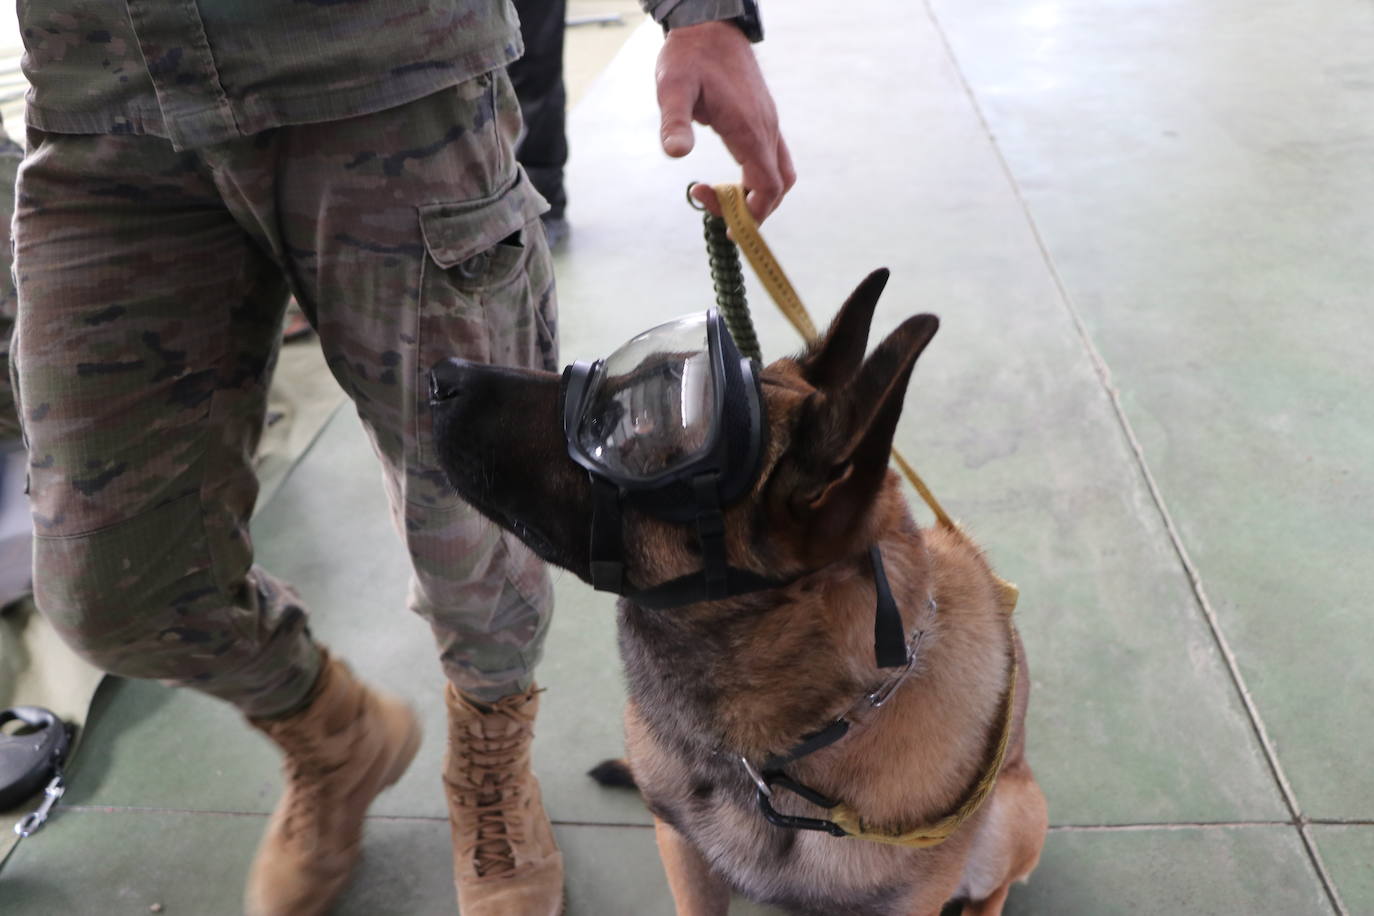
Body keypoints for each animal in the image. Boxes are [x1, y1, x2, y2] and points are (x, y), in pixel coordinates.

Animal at [434, 269, 1044, 911]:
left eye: (621, 429)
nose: (441, 374)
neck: (771, 761)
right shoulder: (683, 852)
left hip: (1012, 818)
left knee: (996, 887)